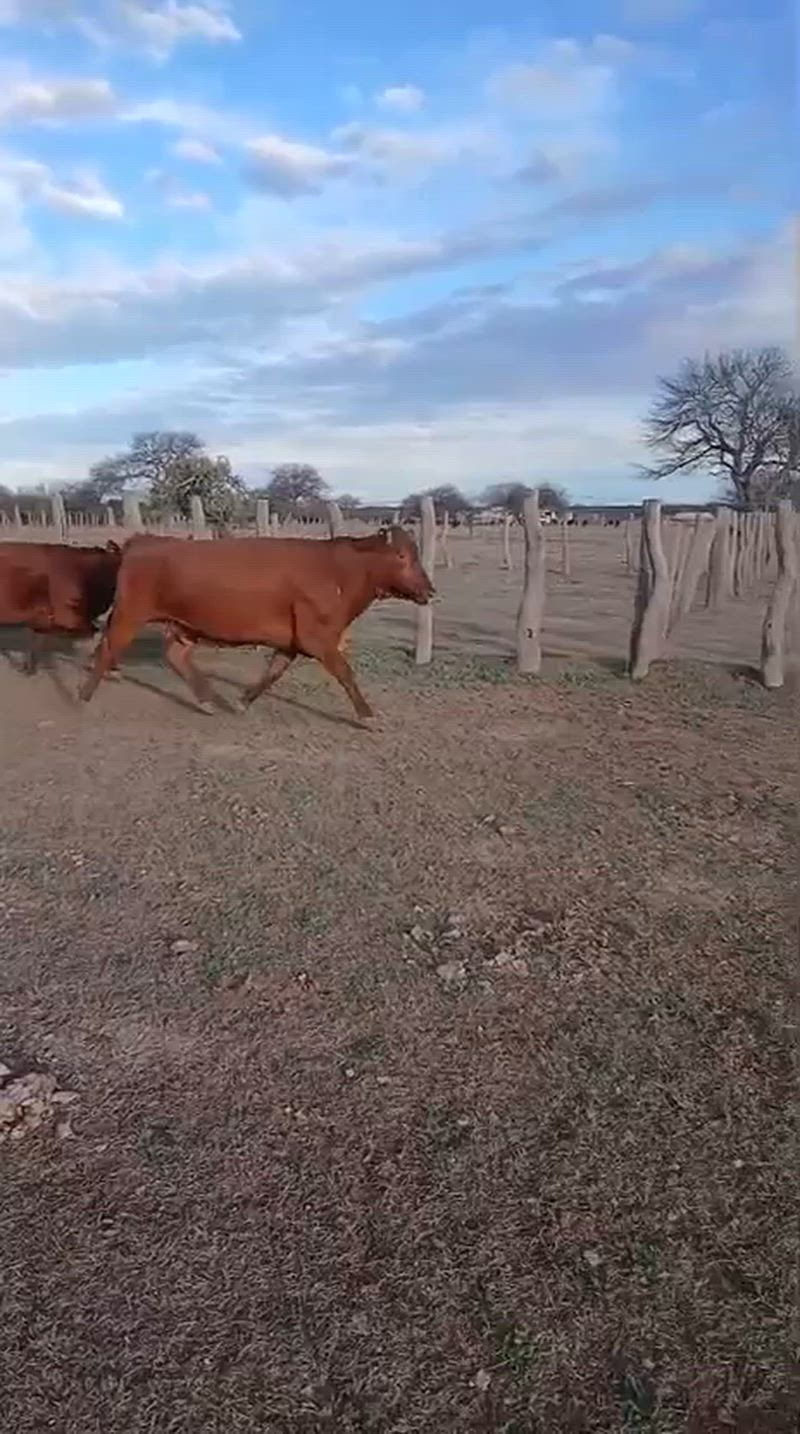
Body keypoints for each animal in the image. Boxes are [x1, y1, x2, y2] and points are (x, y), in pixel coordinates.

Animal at [78, 526, 434, 721]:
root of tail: (144, 541)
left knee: (175, 656)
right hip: (130, 614)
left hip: (185, 626)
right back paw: (82, 697)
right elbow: (345, 673)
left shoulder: (291, 642)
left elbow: (272, 674)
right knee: (107, 648)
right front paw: (367, 715)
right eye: (402, 556)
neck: (339, 572)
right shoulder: (317, 638)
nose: (430, 590)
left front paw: (241, 702)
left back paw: (207, 701)